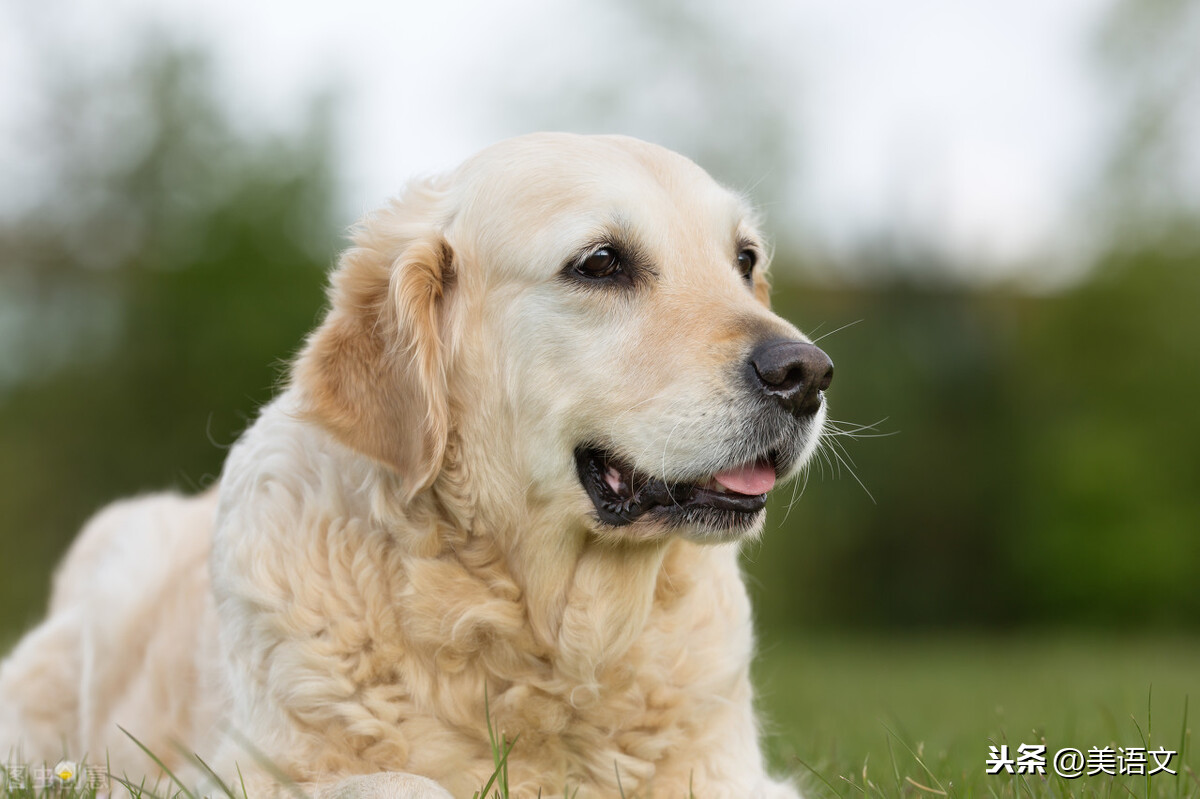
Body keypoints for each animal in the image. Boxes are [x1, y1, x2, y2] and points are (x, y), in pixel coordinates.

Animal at [2, 133, 835, 791]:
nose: (807, 373)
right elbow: (407, 780)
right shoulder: (237, 773)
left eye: (744, 260)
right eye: (601, 262)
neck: (542, 636)